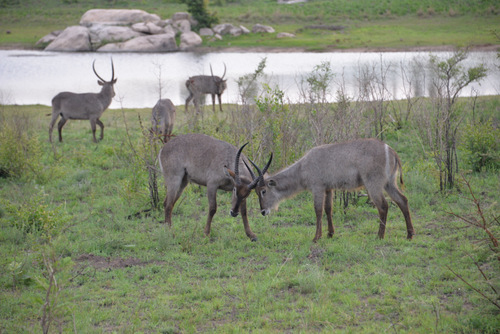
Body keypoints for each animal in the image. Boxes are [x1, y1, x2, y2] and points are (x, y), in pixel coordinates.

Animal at [236, 138, 416, 243]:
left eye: (263, 191)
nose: (263, 211)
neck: (303, 167)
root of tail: (390, 150)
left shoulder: (318, 188)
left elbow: (318, 210)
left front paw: (316, 237)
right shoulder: (329, 188)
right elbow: (329, 209)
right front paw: (330, 233)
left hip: (373, 184)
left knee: (383, 206)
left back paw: (379, 236)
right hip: (389, 183)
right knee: (403, 200)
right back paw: (409, 235)